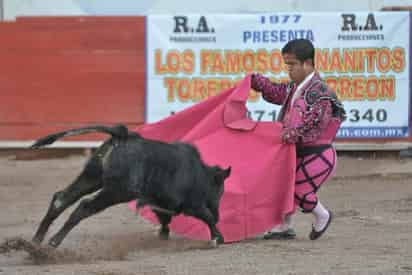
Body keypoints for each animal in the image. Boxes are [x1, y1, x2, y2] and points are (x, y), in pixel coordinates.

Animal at [31, 125, 232, 248]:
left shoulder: (160, 203)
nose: (219, 213)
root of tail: (123, 135)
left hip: (92, 177)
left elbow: (165, 218)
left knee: (61, 198)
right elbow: (207, 218)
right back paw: (53, 242)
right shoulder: (193, 205)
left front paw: (163, 235)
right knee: (84, 206)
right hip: (117, 191)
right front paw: (218, 238)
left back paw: (36, 242)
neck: (201, 173)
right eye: (220, 191)